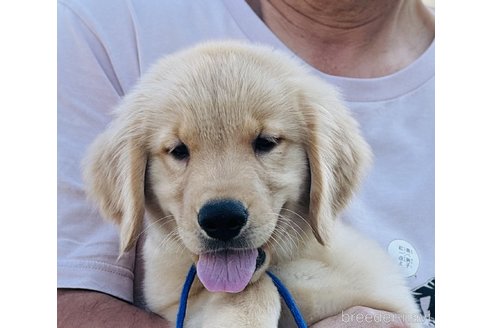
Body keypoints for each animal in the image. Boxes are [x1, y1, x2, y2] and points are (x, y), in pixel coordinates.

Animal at [82, 41, 420, 328]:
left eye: (266, 142)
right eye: (178, 150)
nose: (221, 219)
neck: (281, 262)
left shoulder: (386, 305)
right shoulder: (174, 301)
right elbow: (246, 291)